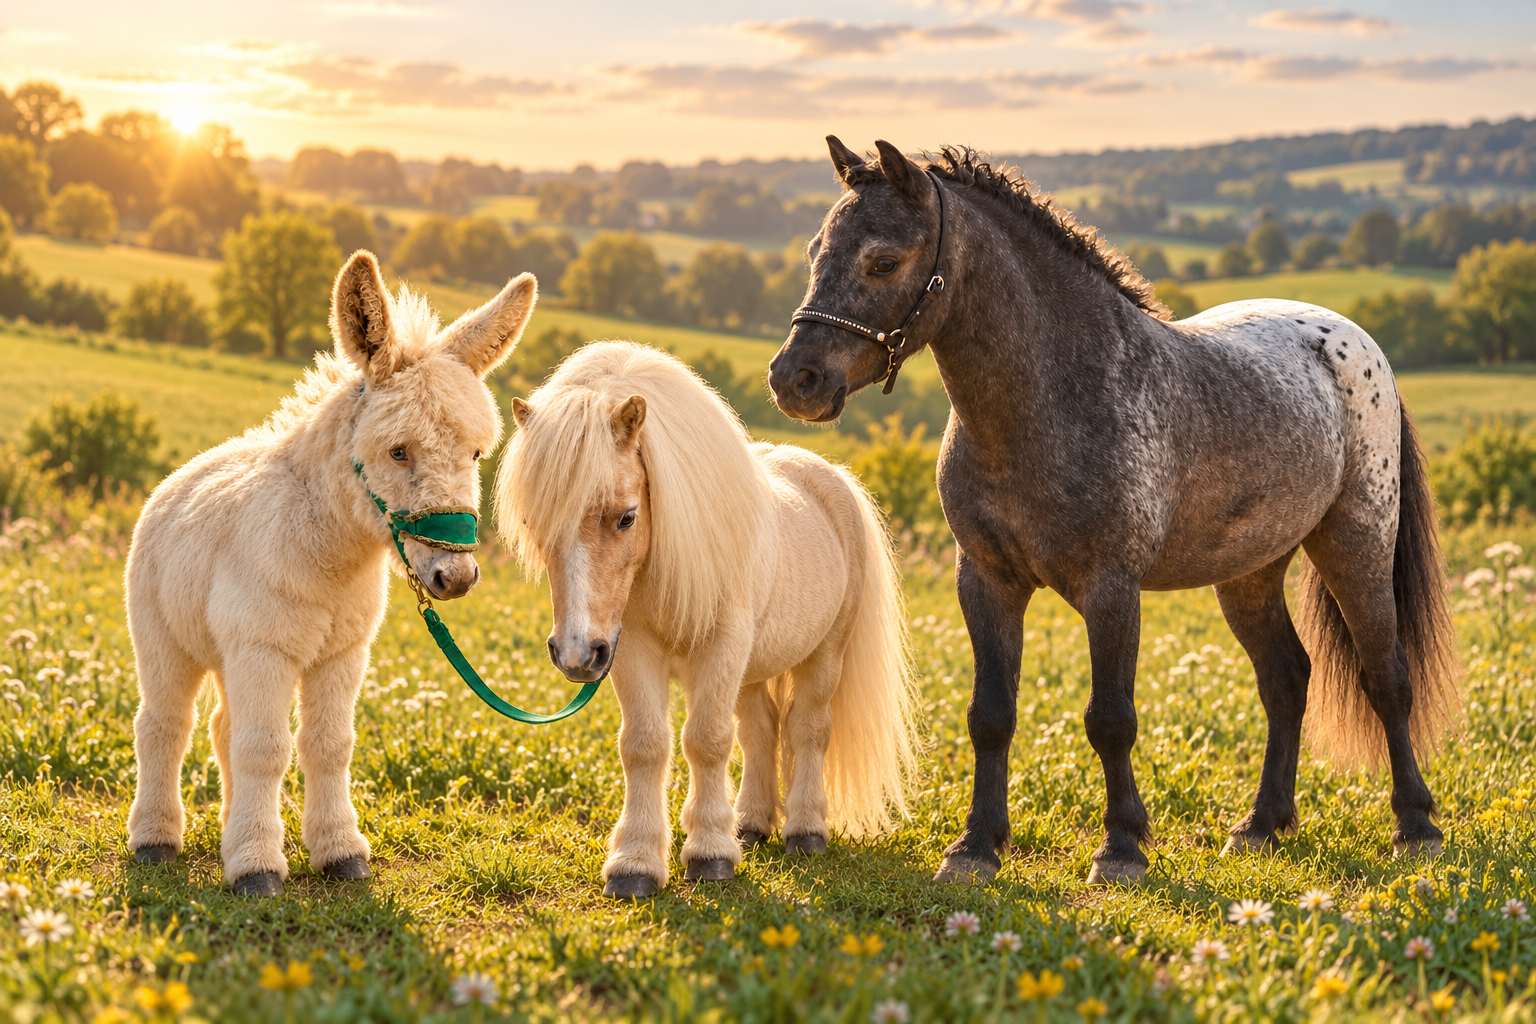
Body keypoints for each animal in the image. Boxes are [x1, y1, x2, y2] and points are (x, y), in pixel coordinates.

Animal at [125, 251, 537, 895]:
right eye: (398, 451)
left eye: (475, 454)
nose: (456, 577)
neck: (331, 556)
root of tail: (185, 472)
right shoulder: (265, 648)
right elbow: (266, 750)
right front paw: (258, 869)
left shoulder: (341, 653)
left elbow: (328, 745)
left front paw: (339, 854)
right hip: (167, 641)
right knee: (165, 726)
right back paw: (155, 841)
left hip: (228, 654)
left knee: (221, 728)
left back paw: (228, 831)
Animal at [495, 340, 918, 898]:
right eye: (533, 522)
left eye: (626, 517)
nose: (575, 653)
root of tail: (829, 475)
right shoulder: (631, 650)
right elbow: (645, 746)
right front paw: (636, 863)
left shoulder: (721, 648)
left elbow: (706, 741)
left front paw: (710, 855)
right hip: (752, 670)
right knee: (761, 730)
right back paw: (751, 826)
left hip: (823, 657)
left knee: (807, 729)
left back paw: (805, 831)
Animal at [768, 138, 1458, 886]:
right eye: (815, 252)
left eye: (884, 261)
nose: (795, 380)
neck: (1051, 399)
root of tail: (1355, 343)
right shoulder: (985, 579)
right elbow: (991, 714)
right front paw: (976, 846)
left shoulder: (1111, 589)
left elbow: (1110, 719)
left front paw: (1121, 847)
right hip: (1249, 573)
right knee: (1285, 680)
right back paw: (1260, 825)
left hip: (1356, 542)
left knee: (1385, 676)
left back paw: (1416, 826)